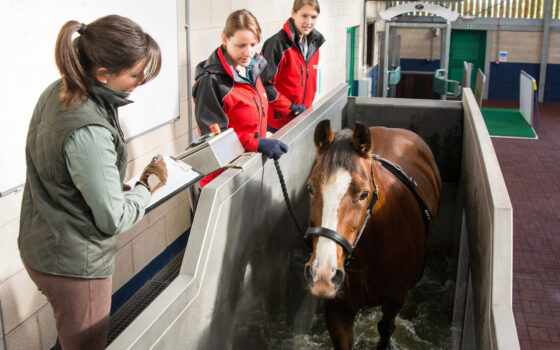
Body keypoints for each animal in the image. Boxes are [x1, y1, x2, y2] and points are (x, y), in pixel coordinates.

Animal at [304, 121, 440, 350]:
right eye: (310, 188)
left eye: (364, 194)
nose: (322, 274)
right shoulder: (338, 309)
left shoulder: (396, 300)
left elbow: (386, 330)